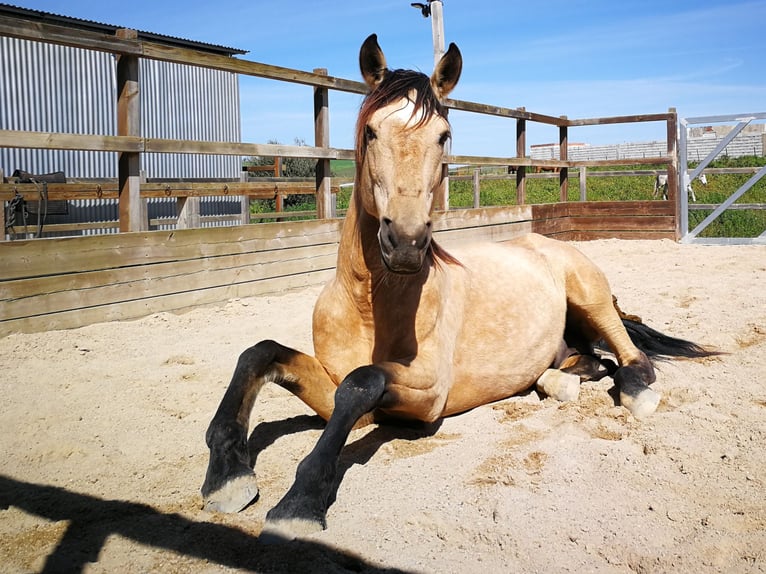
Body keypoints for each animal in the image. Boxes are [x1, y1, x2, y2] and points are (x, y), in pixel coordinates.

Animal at [201, 35, 716, 540]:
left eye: (443, 136)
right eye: (370, 132)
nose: (406, 243)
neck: (368, 306)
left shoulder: (428, 392)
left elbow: (361, 382)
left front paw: (299, 503)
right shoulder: (333, 390)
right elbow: (261, 353)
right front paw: (228, 475)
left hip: (589, 296)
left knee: (632, 358)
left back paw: (634, 392)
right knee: (586, 362)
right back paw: (557, 382)